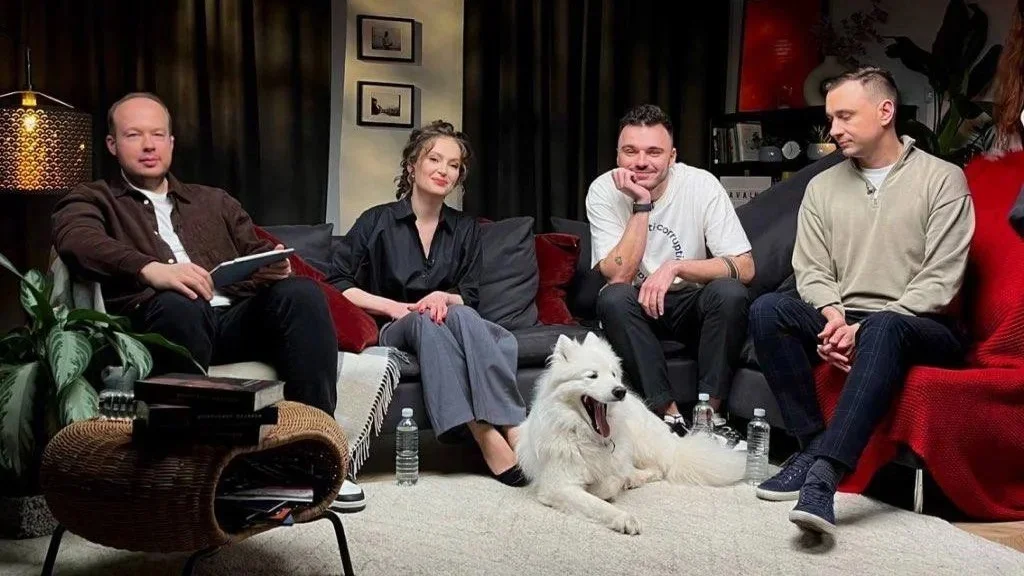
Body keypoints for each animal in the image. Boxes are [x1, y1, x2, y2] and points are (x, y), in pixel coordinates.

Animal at [516, 332, 746, 535]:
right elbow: (596, 504)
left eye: (613, 374)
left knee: (658, 468)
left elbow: (610, 484)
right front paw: (623, 517)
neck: (586, 436)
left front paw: (607, 489)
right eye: (592, 376)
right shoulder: (557, 486)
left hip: (639, 441)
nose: (620, 391)